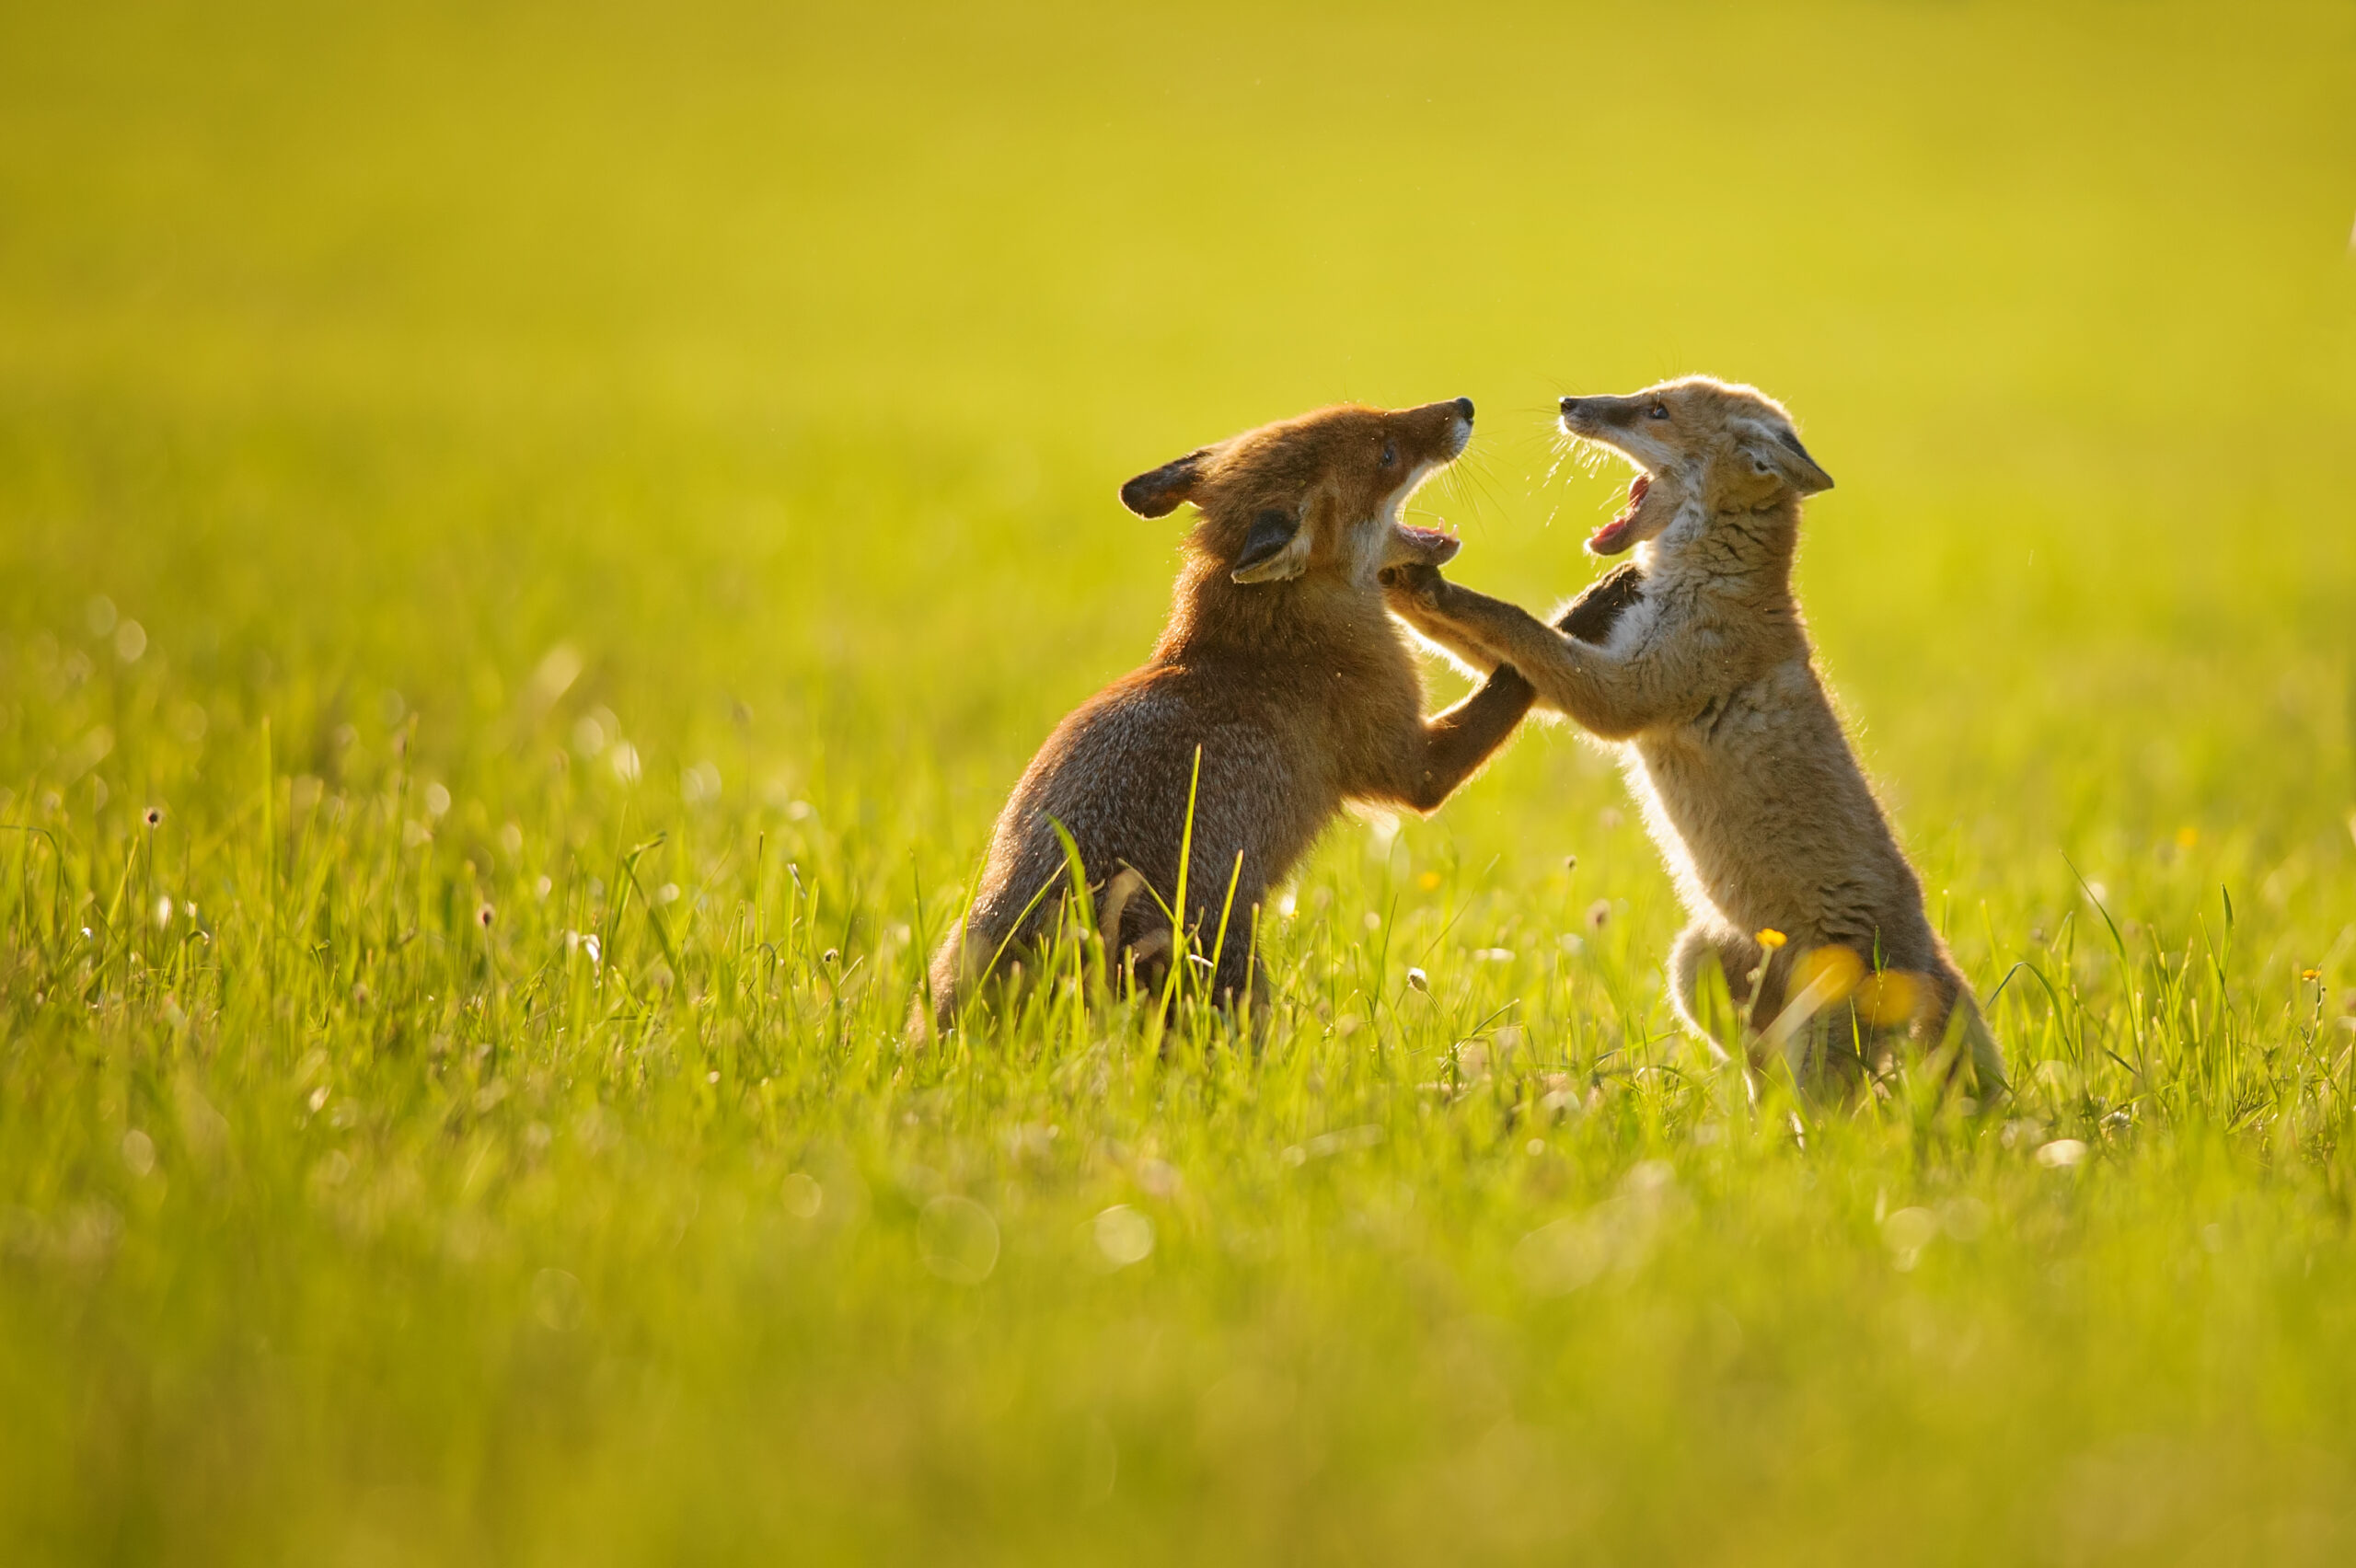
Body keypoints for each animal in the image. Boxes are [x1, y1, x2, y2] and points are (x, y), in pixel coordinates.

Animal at [923, 397, 1536, 1037]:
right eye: (1387, 455)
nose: (1463, 406)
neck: (1266, 640)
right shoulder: (1412, 768)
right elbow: (1504, 694)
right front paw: (1550, 642)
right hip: (1237, 982)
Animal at [1381, 377, 2006, 1093]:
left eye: (1657, 412)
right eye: (1645, 395)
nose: (1570, 403)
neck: (1703, 587)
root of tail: (1931, 950)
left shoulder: (1623, 692)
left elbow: (1515, 622)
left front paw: (1429, 584)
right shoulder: (1599, 659)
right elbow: (1488, 637)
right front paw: (1403, 582)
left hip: (1816, 1049)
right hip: (1697, 962)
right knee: (1764, 1079)